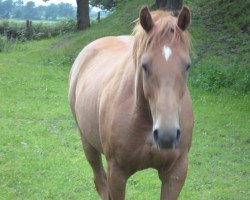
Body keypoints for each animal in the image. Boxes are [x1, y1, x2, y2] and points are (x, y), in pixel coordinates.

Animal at [68, 5, 193, 199]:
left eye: (187, 65)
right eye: (145, 65)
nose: (167, 135)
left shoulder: (175, 173)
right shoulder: (117, 173)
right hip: (88, 144)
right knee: (100, 182)